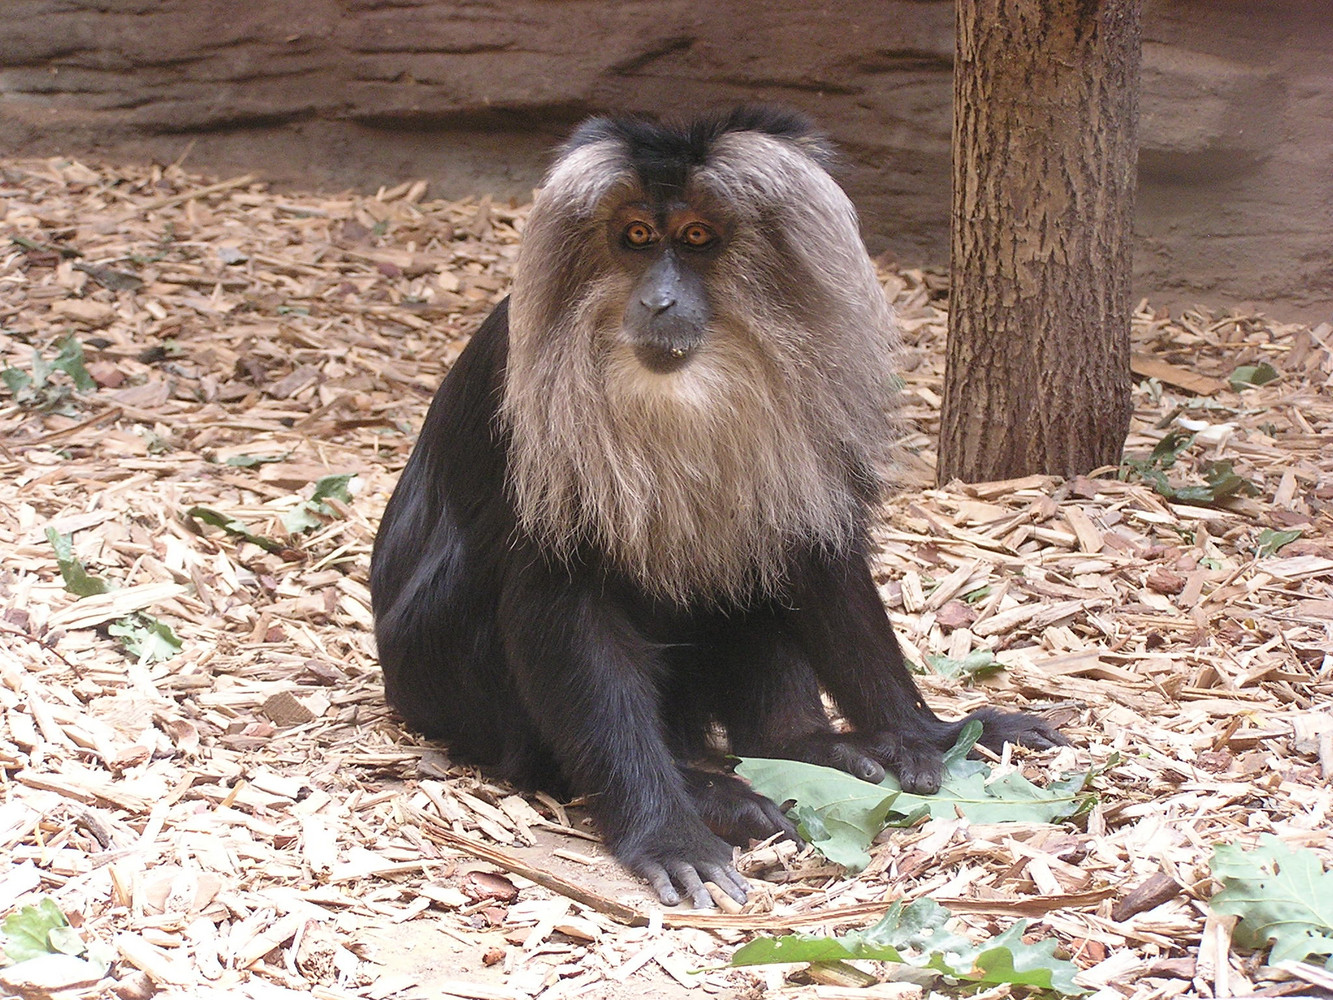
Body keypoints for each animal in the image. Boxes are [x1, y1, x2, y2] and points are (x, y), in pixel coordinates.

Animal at [370, 107, 1066, 909]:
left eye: (697, 237)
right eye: (637, 236)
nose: (658, 300)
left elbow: (816, 556)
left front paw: (930, 735)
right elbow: (557, 607)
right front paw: (668, 830)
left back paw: (809, 750)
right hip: (438, 671)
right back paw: (713, 790)